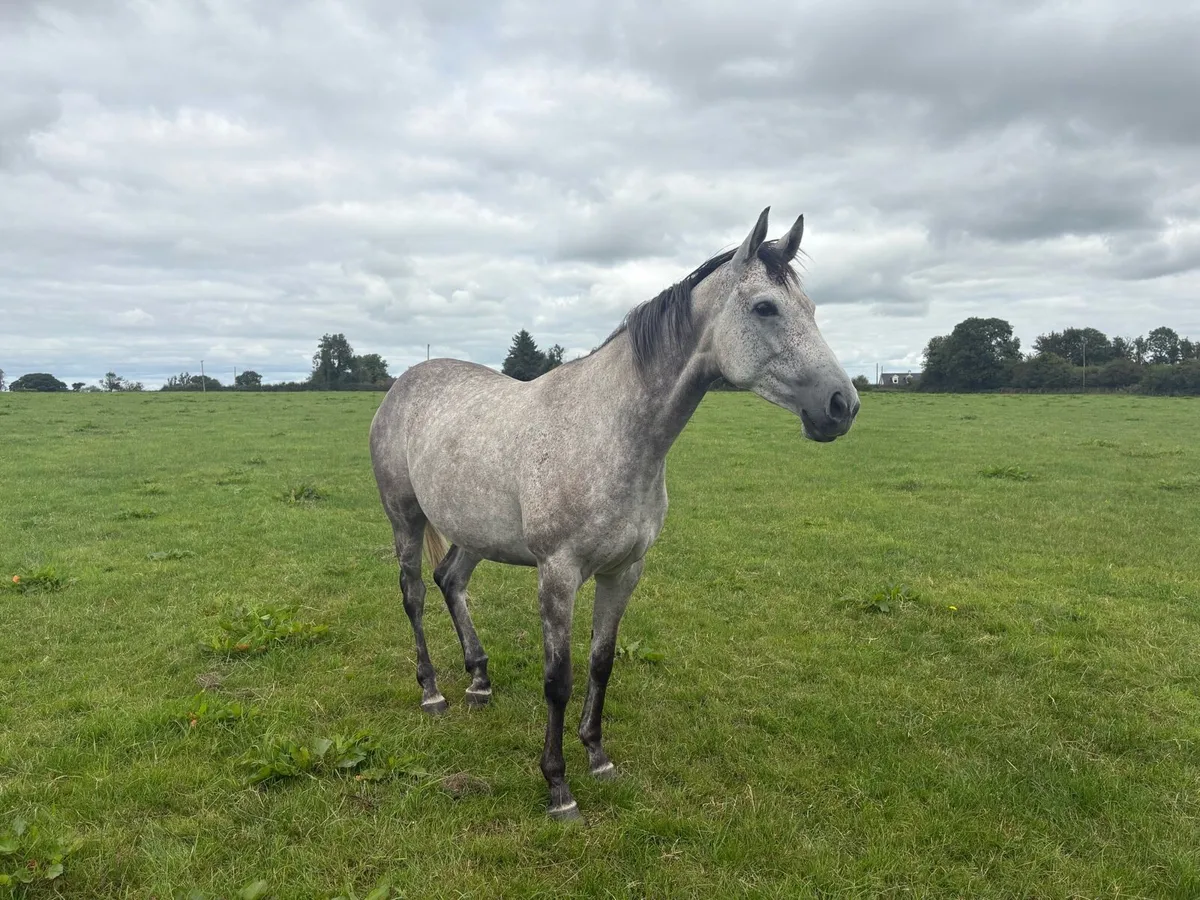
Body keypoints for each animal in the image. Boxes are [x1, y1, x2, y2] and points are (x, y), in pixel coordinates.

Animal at [369, 207, 860, 821]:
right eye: (765, 308)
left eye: (812, 308)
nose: (842, 405)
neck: (612, 432)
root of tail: (404, 384)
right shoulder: (559, 574)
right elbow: (558, 678)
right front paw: (558, 787)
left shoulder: (624, 571)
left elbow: (601, 662)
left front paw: (598, 757)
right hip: (405, 519)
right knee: (413, 592)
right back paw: (432, 691)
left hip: (473, 533)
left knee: (449, 580)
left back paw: (479, 681)